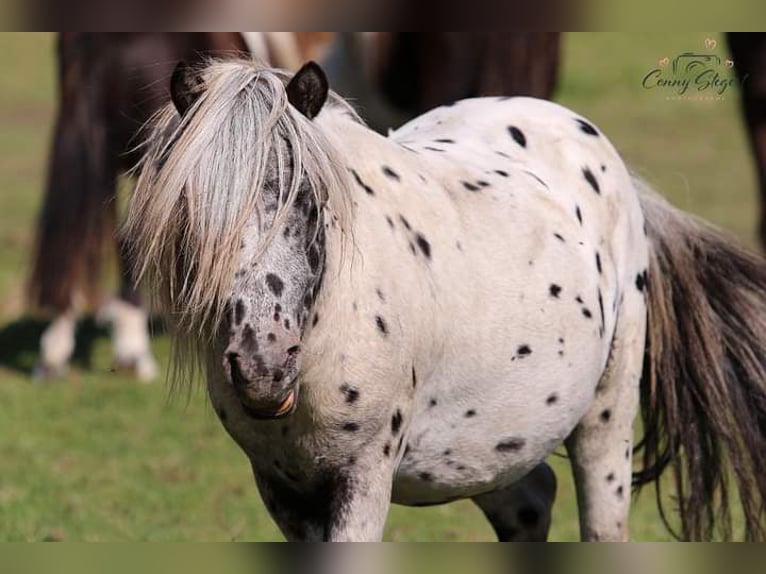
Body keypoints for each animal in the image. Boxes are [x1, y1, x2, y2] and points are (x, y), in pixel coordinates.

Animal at [126, 60, 766, 544]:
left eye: (306, 199)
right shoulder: (284, 490)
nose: (263, 365)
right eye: (194, 208)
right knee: (531, 501)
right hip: (492, 444)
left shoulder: (362, 478)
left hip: (607, 414)